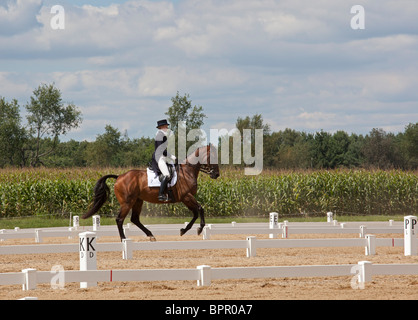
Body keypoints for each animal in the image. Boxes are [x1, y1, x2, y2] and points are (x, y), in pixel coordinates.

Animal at [81, 144, 219, 241]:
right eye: (212, 157)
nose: (216, 175)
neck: (187, 172)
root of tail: (119, 177)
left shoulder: (186, 198)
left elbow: (195, 213)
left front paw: (184, 230)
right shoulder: (186, 196)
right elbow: (200, 209)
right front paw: (199, 228)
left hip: (138, 201)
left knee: (135, 219)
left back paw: (151, 235)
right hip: (127, 203)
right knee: (120, 219)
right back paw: (124, 239)